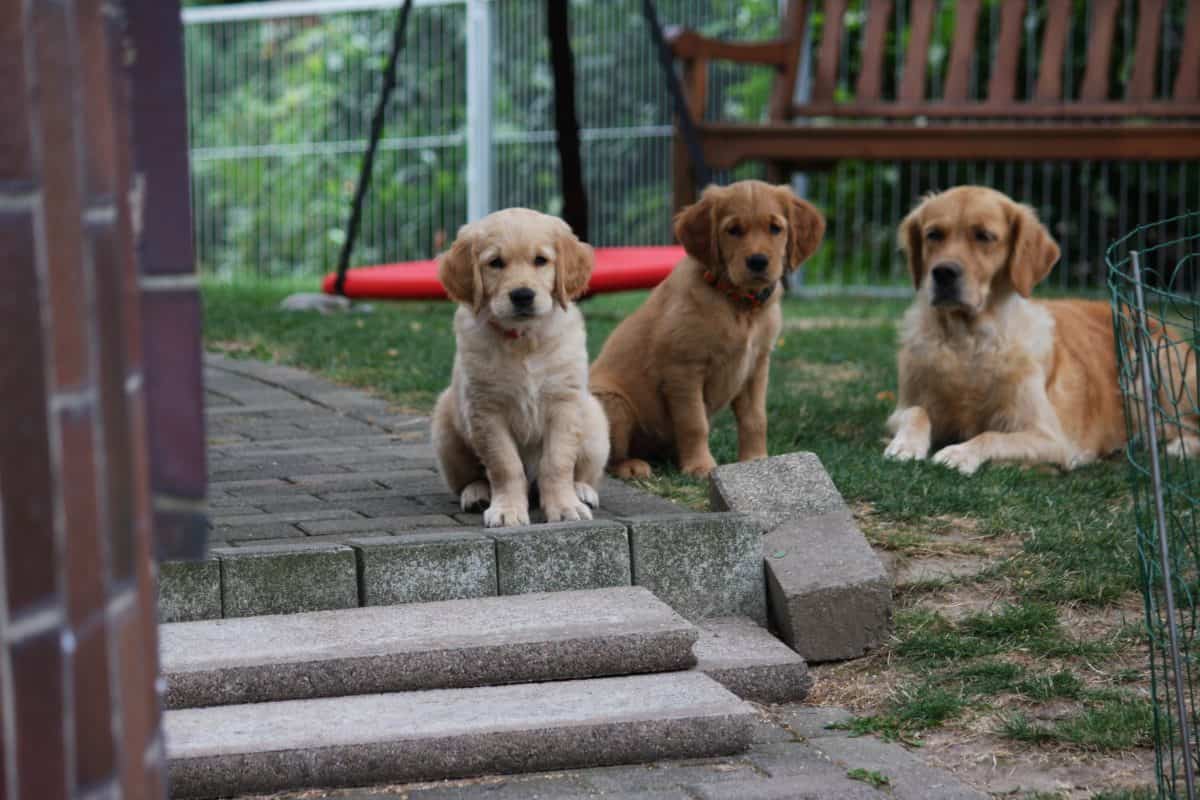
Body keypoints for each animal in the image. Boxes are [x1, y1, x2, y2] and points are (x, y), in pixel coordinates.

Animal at [432, 209, 609, 527]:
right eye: (495, 263)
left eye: (540, 260)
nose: (523, 295)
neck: (524, 339)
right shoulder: (486, 410)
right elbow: (505, 465)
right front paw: (507, 510)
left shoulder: (565, 403)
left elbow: (558, 462)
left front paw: (565, 506)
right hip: (445, 431)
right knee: (469, 478)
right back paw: (476, 493)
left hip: (595, 424)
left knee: (585, 470)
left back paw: (582, 490)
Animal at [588, 181, 825, 479]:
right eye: (733, 230)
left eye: (775, 228)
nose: (758, 261)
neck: (739, 304)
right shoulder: (683, 370)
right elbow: (694, 423)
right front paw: (700, 466)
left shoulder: (756, 367)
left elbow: (755, 419)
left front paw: (756, 460)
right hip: (613, 403)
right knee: (604, 458)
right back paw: (631, 465)